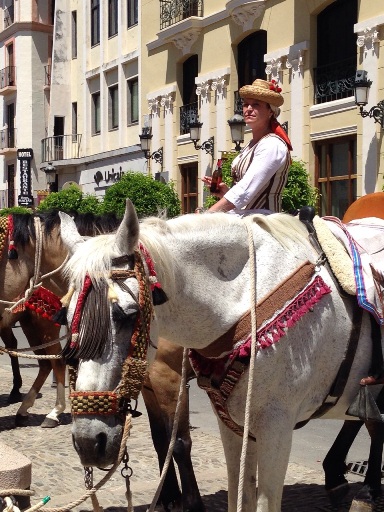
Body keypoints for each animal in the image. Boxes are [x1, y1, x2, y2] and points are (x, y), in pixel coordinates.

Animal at [0, 210, 204, 510]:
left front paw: (190, 502)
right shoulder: (148, 384)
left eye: (3, 254)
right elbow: (159, 438)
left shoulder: (171, 381)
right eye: (67, 315)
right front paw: (167, 497)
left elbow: (178, 442)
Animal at [58, 200, 376, 512]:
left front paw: (187, 501)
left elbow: (181, 444)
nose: (89, 441)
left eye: (127, 314)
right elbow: (235, 491)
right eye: (67, 316)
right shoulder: (231, 422)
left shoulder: (275, 426)